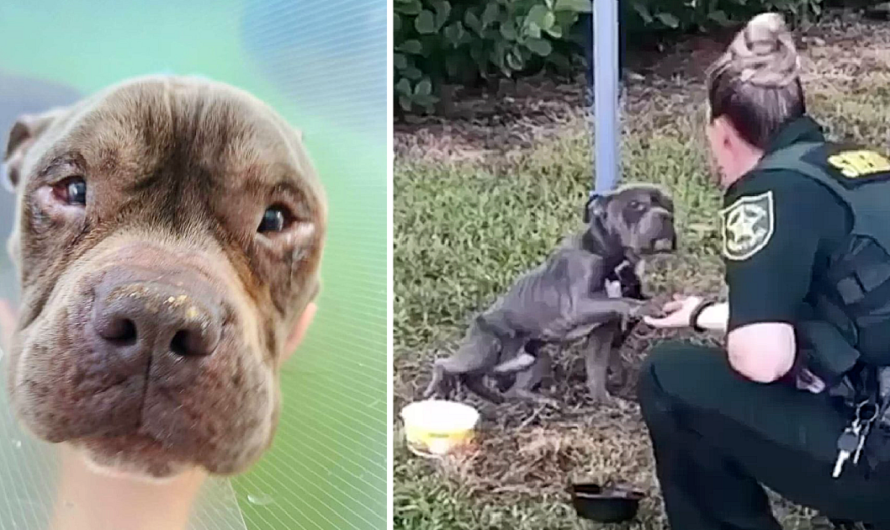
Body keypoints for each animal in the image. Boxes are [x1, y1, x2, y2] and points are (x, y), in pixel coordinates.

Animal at [422, 184, 672, 402]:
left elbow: (597, 372)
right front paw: (646, 306)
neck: (613, 258)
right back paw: (438, 386)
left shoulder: (602, 332)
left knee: (508, 389)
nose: (667, 216)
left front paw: (607, 399)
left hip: (536, 358)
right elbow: (623, 301)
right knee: (445, 363)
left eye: (668, 204)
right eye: (635, 205)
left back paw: (528, 400)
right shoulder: (580, 305)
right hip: (485, 348)